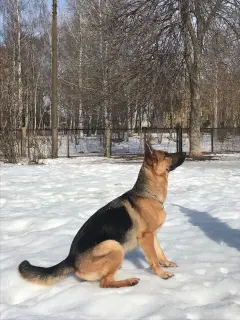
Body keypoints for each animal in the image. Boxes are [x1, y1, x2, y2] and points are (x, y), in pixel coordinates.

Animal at [19, 142, 188, 288]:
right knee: (105, 283)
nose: (185, 153)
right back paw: (129, 281)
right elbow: (153, 258)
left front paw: (166, 263)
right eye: (166, 155)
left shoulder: (153, 235)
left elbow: (159, 252)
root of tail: (71, 259)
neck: (148, 193)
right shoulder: (146, 237)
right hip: (114, 246)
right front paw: (161, 273)